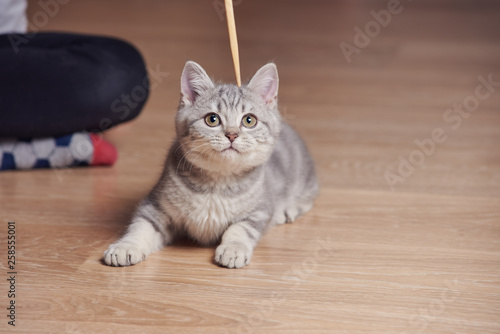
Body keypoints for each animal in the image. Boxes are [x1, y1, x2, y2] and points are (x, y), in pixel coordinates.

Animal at [103, 60, 318, 268]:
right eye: (212, 119)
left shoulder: (260, 210)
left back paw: (286, 211)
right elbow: (142, 226)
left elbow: (240, 228)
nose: (232, 134)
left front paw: (234, 249)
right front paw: (126, 246)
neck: (217, 183)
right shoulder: (155, 205)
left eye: (249, 120)